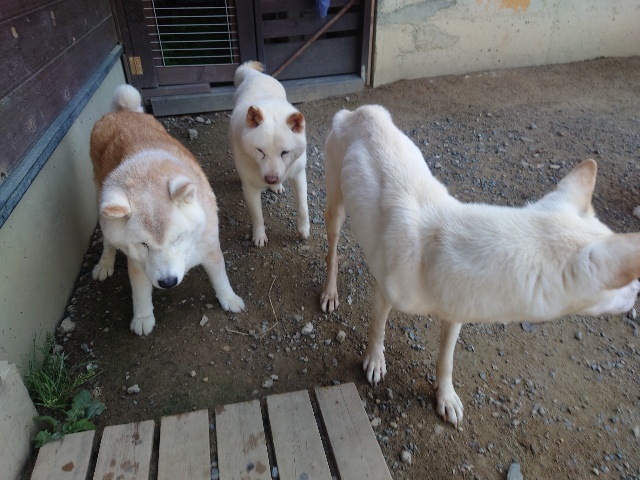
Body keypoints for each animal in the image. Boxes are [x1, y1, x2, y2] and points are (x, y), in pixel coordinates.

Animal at [90, 84, 245, 336]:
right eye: (144, 244)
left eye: (177, 239)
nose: (168, 282)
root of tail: (122, 112)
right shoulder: (137, 262)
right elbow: (140, 293)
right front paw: (143, 317)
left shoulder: (210, 246)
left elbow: (220, 277)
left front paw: (229, 299)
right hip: (103, 203)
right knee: (107, 240)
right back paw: (104, 263)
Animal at [229, 60, 310, 247]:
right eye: (260, 151)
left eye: (285, 152)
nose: (271, 179)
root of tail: (255, 75)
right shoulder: (250, 187)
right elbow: (257, 215)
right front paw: (259, 236)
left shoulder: (298, 174)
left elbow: (303, 205)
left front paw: (304, 229)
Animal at [320, 105, 640, 428]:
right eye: (628, 283)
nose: (638, 291)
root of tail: (359, 111)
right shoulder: (385, 295)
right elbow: (377, 329)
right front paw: (374, 361)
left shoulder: (455, 313)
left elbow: (446, 360)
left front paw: (446, 397)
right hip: (335, 206)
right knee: (332, 253)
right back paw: (330, 292)